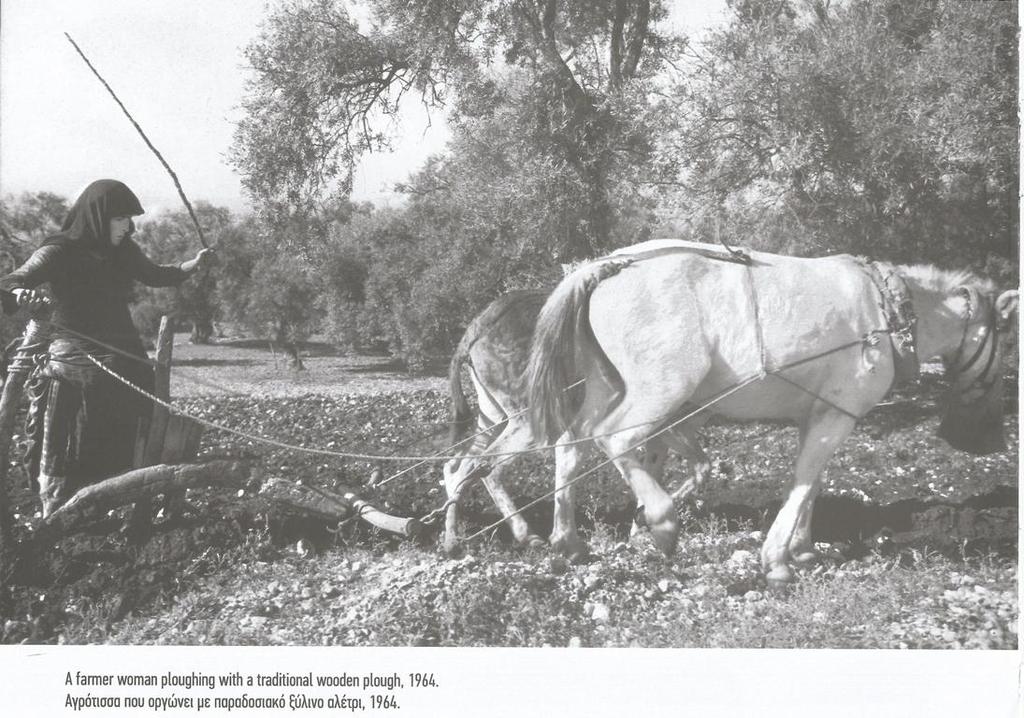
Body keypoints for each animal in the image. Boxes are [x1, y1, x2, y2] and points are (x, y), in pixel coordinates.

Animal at [440, 288, 712, 557]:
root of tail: (480, 324)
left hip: (492, 416)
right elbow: (701, 466)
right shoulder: (666, 422)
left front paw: (641, 527)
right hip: (529, 421)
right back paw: (527, 536)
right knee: (487, 468)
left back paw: (452, 540)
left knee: (457, 467)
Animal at [528, 239, 1015, 581]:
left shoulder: (817, 416)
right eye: (1009, 338)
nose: (987, 440)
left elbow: (812, 484)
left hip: (607, 386)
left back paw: (568, 543)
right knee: (613, 439)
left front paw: (803, 550)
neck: (887, 313)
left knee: (571, 445)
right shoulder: (839, 415)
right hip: (659, 390)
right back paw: (661, 522)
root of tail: (603, 267)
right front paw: (778, 559)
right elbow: (802, 483)